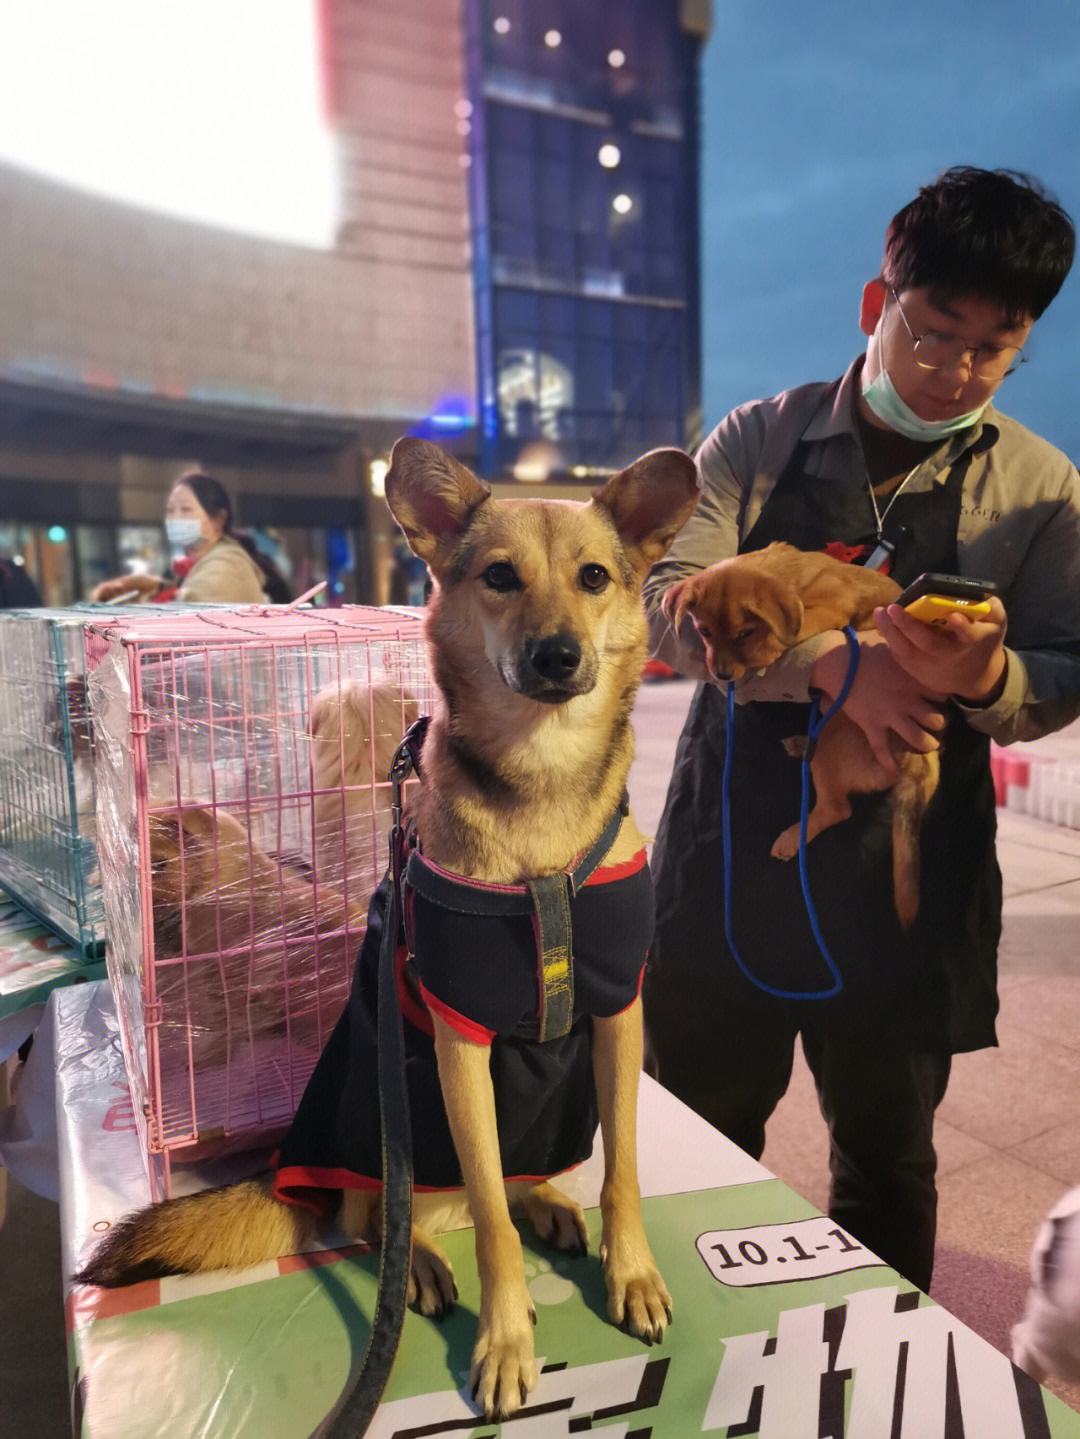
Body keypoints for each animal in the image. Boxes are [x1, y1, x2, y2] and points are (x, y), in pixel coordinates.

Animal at [78, 440, 701, 1427]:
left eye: (596, 577)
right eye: (499, 576)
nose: (558, 655)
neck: (540, 794)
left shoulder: (616, 1013)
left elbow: (625, 1167)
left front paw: (629, 1270)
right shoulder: (456, 1038)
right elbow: (487, 1215)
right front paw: (506, 1336)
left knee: (502, 1181)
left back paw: (548, 1199)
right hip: (386, 1092)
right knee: (374, 1213)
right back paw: (425, 1261)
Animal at [658, 541, 937, 932]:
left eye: (744, 633)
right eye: (706, 632)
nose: (723, 675)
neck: (796, 579)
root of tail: (918, 762)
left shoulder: (832, 608)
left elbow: (801, 625)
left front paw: (768, 650)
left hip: (834, 742)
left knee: (837, 808)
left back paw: (791, 838)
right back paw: (801, 745)